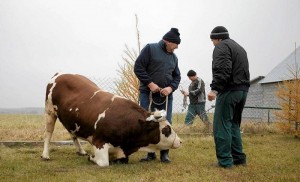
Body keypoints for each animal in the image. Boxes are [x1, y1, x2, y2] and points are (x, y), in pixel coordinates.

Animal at [39, 73, 180, 167]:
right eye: (167, 129)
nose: (180, 141)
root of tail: (60, 74)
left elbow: (122, 160)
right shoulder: (99, 141)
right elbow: (104, 162)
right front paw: (92, 157)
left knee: (72, 133)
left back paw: (81, 151)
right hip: (50, 112)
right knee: (48, 133)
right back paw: (45, 155)